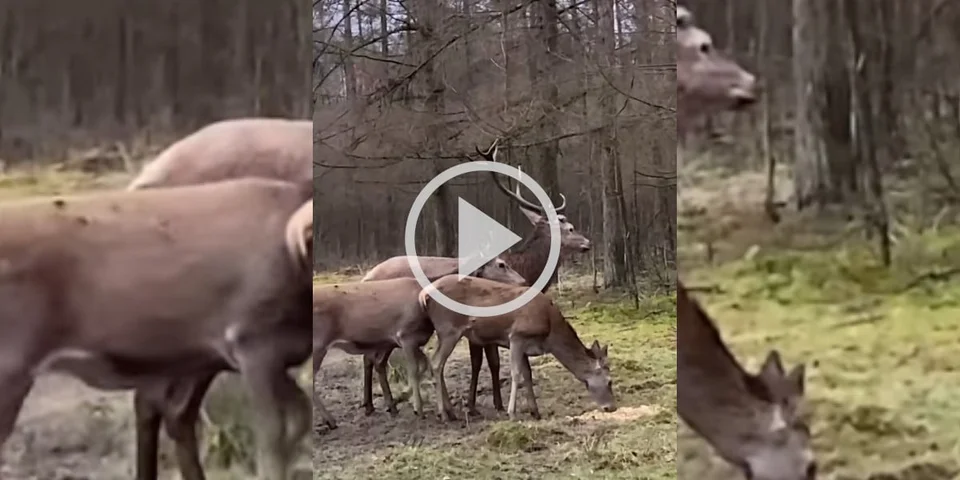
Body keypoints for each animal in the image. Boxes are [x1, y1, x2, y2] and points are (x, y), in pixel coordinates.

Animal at [314, 261, 526, 427]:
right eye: (501, 264)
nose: (523, 281)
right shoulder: (405, 336)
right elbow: (415, 370)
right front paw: (419, 408)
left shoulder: (416, 340)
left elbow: (427, 366)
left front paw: (446, 409)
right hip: (319, 344)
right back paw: (332, 420)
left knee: (376, 363)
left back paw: (382, 407)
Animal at [416, 275, 616, 421]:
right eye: (610, 381)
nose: (611, 407)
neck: (550, 332)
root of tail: (423, 296)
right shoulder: (517, 336)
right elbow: (516, 373)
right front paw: (511, 413)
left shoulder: (526, 346)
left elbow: (528, 374)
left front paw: (535, 411)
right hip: (449, 329)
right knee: (436, 363)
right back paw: (443, 413)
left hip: (444, 332)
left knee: (437, 364)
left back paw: (450, 411)